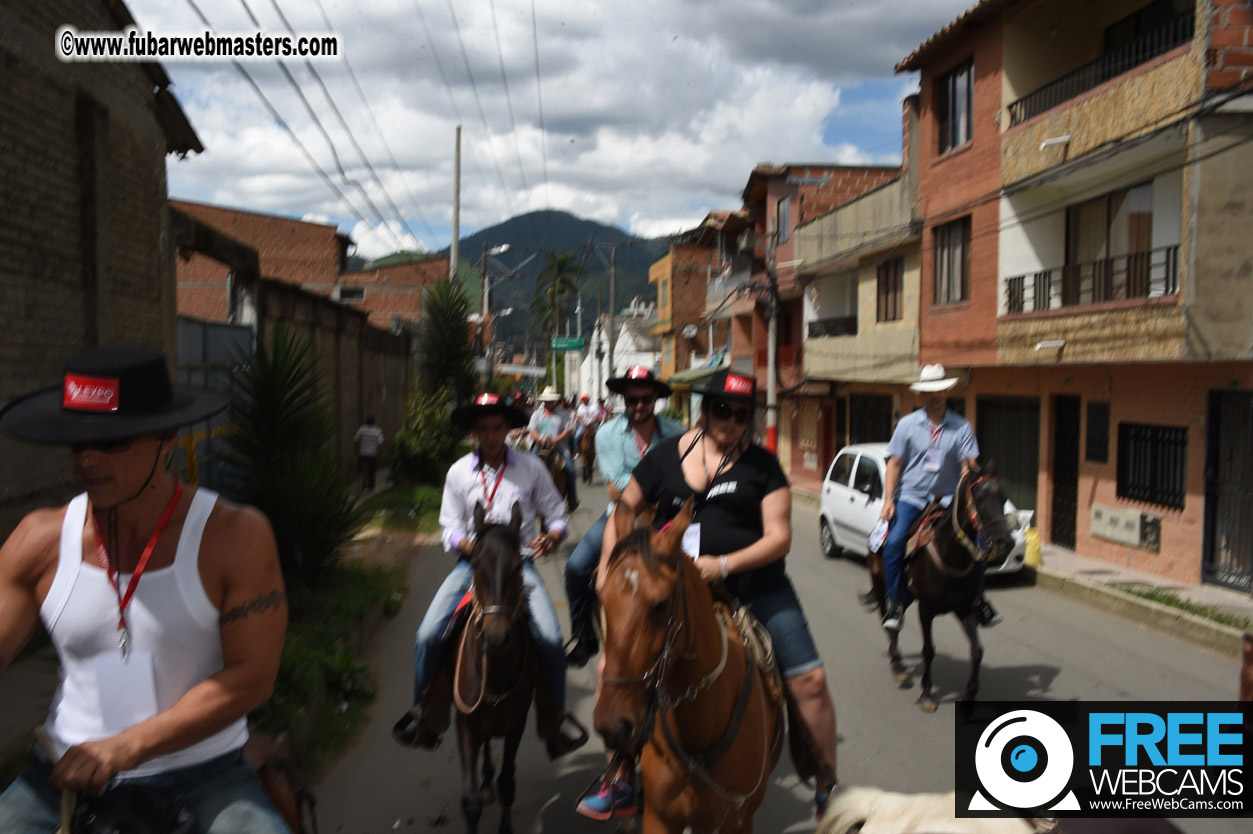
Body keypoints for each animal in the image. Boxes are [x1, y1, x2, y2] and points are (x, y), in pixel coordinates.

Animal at [857, 460, 1022, 706]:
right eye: (979, 497)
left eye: (1003, 498)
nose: (1006, 542)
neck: (951, 554)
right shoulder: (926, 610)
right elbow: (929, 650)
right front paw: (927, 692)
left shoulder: (965, 608)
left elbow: (977, 651)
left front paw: (970, 692)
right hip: (879, 584)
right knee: (887, 620)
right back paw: (897, 666)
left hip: (906, 595)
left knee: (894, 618)